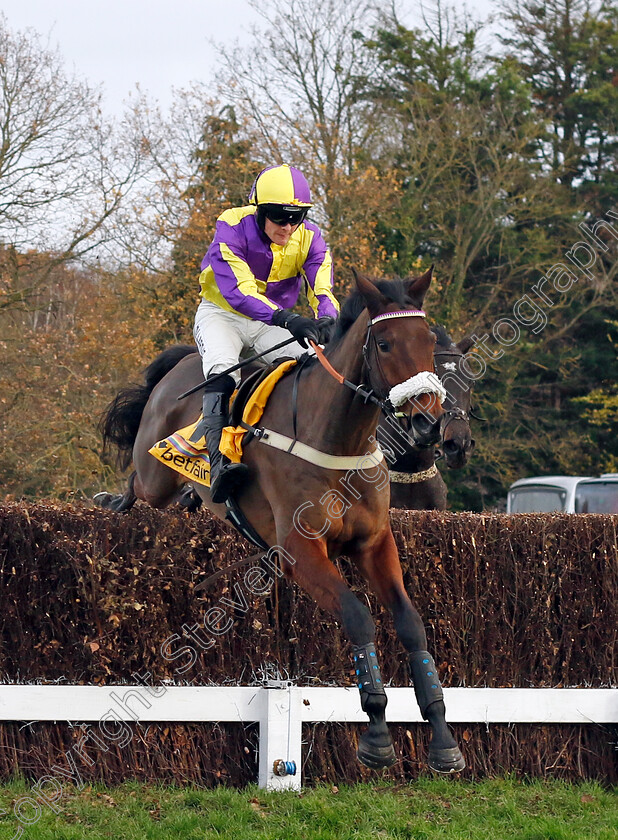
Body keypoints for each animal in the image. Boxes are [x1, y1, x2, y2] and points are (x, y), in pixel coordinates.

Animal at [96, 270, 462, 776]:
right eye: (385, 344)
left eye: (427, 339)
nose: (428, 422)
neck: (336, 438)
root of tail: (181, 363)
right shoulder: (301, 551)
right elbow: (358, 617)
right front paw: (375, 734)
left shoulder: (374, 542)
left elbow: (411, 624)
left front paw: (443, 738)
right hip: (156, 474)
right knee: (137, 481)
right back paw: (113, 499)